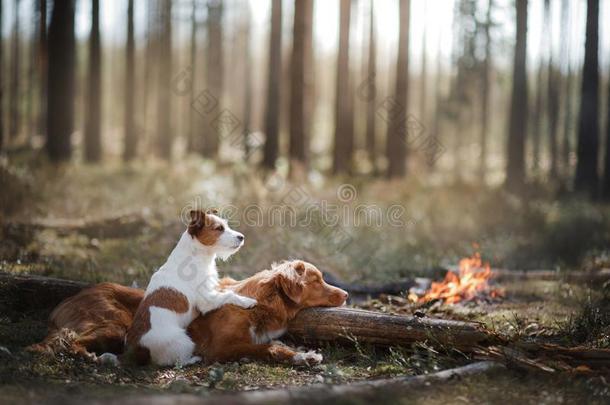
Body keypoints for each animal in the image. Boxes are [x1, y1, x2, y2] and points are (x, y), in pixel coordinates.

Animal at [30, 260, 346, 364]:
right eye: (317, 280)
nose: (346, 295)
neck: (262, 303)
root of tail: (68, 299)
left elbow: (276, 343)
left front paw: (304, 354)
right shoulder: (220, 347)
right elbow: (267, 347)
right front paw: (299, 356)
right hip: (115, 325)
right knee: (69, 342)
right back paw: (93, 357)